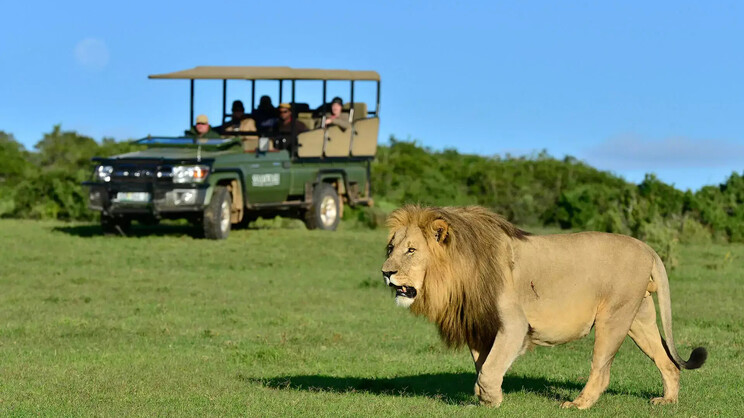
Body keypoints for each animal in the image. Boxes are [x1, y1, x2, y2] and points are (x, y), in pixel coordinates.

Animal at [380, 205, 708, 408]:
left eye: (411, 250)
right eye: (391, 248)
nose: (386, 272)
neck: (457, 273)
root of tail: (647, 246)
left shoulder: (514, 324)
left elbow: (489, 368)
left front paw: (491, 399)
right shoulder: (480, 325)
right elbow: (483, 365)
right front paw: (484, 396)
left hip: (614, 316)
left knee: (601, 369)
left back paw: (578, 404)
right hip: (639, 317)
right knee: (667, 361)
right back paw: (668, 400)